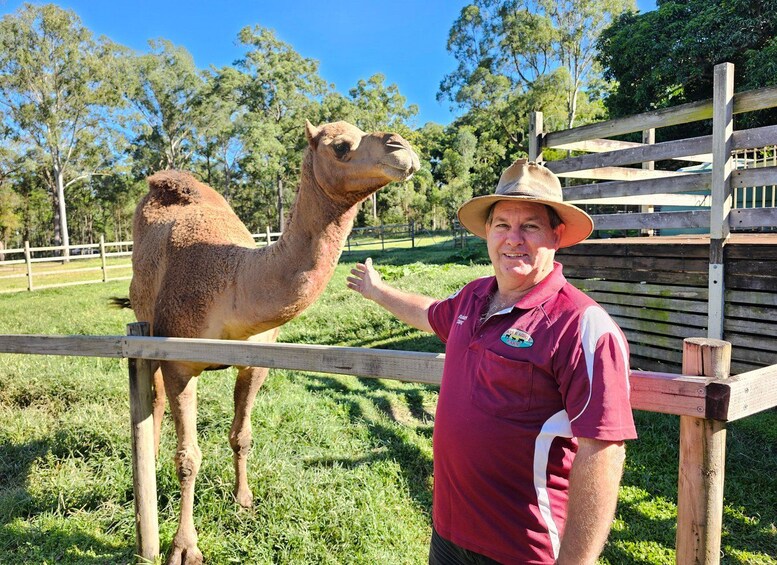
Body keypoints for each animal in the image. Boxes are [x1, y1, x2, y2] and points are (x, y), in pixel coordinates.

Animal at [127, 120, 419, 565]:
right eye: (340, 146)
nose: (402, 148)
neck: (235, 282)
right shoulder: (180, 362)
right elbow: (189, 458)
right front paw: (184, 547)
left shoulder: (256, 361)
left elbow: (242, 435)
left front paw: (244, 500)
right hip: (145, 325)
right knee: (154, 397)